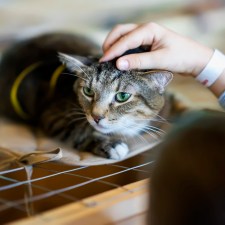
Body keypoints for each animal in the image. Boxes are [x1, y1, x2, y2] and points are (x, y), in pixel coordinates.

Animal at [0, 32, 173, 160]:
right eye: (88, 91)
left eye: (123, 96)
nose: (96, 117)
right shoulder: (54, 115)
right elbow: (80, 131)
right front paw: (110, 144)